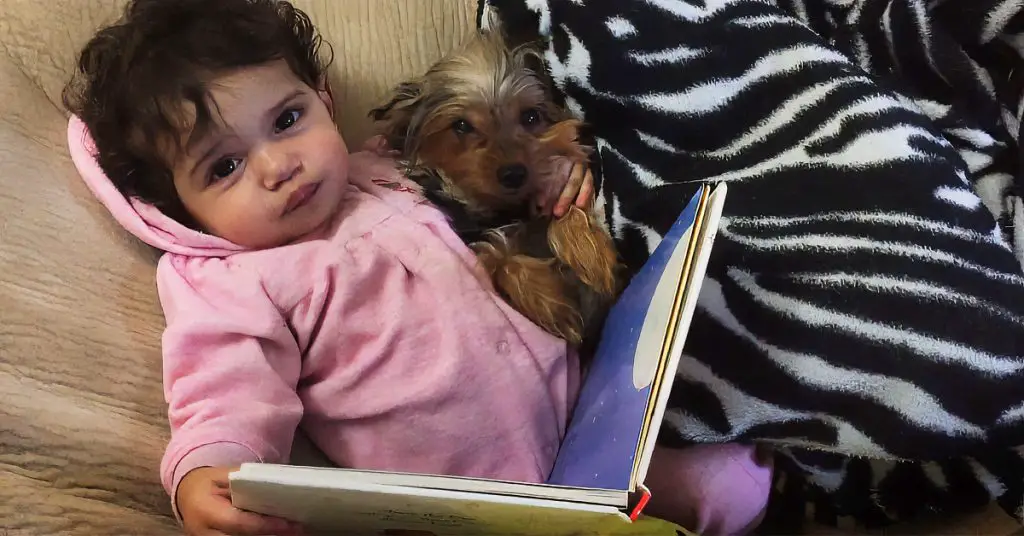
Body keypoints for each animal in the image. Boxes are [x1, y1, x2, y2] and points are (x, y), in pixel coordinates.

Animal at [372, 29, 618, 350]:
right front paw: (553, 307)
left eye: (530, 117)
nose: (514, 174)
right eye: (461, 125)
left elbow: (563, 211)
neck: (504, 211)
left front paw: (592, 257)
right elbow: (500, 260)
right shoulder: (476, 243)